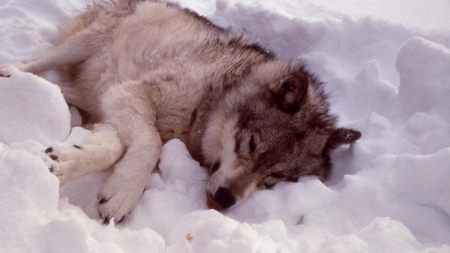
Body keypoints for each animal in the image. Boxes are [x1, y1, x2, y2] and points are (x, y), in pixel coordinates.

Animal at [0, 0, 360, 221]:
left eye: (274, 178)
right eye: (250, 145)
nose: (226, 200)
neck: (213, 97)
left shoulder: (115, 105)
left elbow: (113, 150)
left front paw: (67, 162)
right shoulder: (132, 93)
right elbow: (151, 143)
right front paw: (124, 193)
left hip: (90, 89)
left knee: (60, 86)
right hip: (83, 45)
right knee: (36, 63)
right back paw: (9, 72)